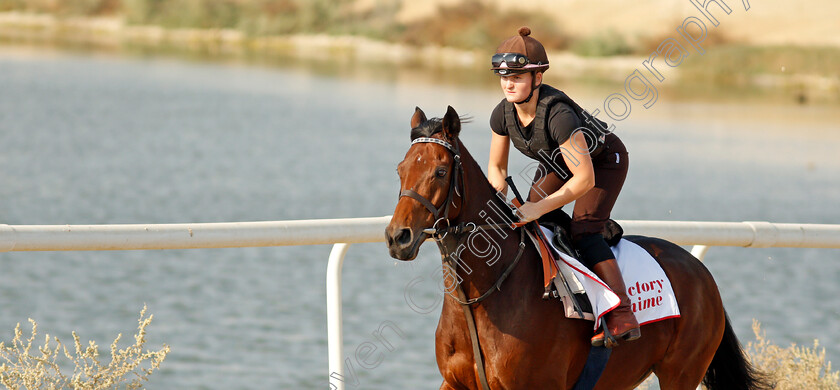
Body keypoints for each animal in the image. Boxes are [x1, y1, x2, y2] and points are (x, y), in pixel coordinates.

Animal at [384, 106, 772, 390]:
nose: (397, 237)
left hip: (681, 374)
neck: (482, 297)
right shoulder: (455, 383)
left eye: (439, 171)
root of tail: (703, 275)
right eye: (400, 168)